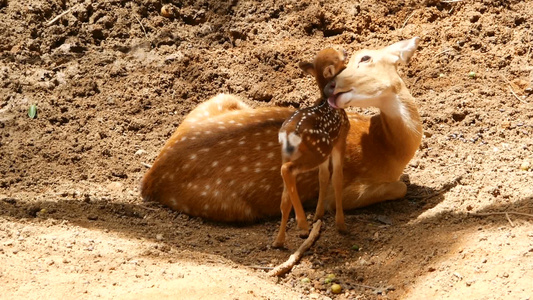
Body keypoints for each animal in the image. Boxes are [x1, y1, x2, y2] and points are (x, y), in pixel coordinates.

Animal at [139, 37, 422, 225]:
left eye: (365, 57)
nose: (331, 88)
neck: (386, 150)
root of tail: (149, 180)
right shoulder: (345, 192)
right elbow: (400, 187)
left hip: (220, 98)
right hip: (228, 206)